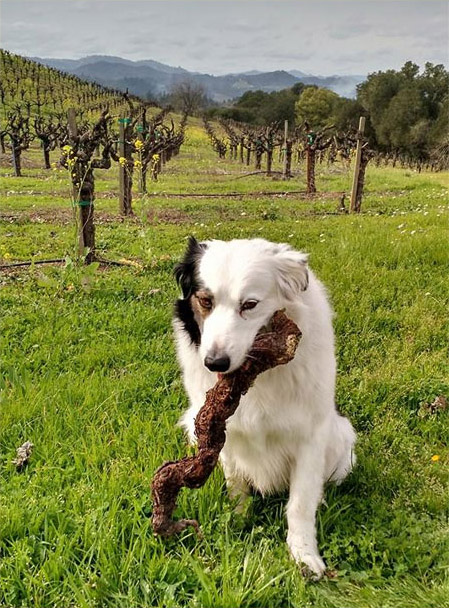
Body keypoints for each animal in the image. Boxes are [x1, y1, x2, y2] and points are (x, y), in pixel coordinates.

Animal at [173, 235, 356, 576]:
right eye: (205, 301)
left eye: (250, 305)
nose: (215, 363)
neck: (257, 378)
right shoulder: (222, 432)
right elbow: (235, 482)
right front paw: (238, 520)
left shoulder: (312, 435)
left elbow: (301, 501)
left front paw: (304, 554)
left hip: (341, 437)